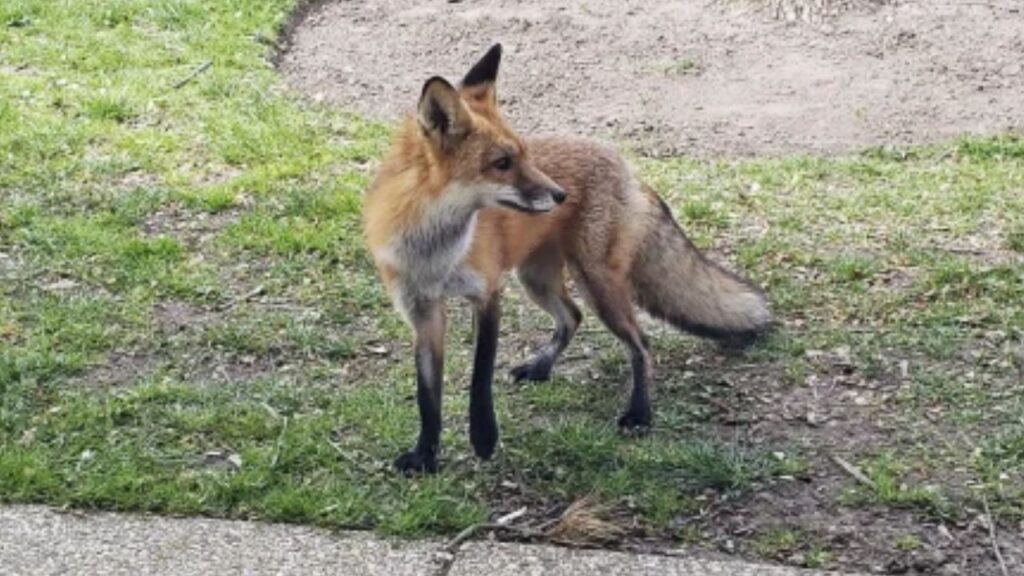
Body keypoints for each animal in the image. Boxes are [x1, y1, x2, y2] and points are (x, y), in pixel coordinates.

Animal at [362, 44, 773, 474]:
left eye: (524, 155)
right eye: (502, 163)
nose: (561, 195)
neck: (434, 252)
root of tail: (625, 164)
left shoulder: (489, 293)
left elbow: (480, 376)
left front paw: (484, 437)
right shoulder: (422, 312)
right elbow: (427, 397)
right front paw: (425, 455)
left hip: (597, 284)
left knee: (640, 343)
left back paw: (639, 413)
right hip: (536, 279)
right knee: (572, 317)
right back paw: (543, 367)